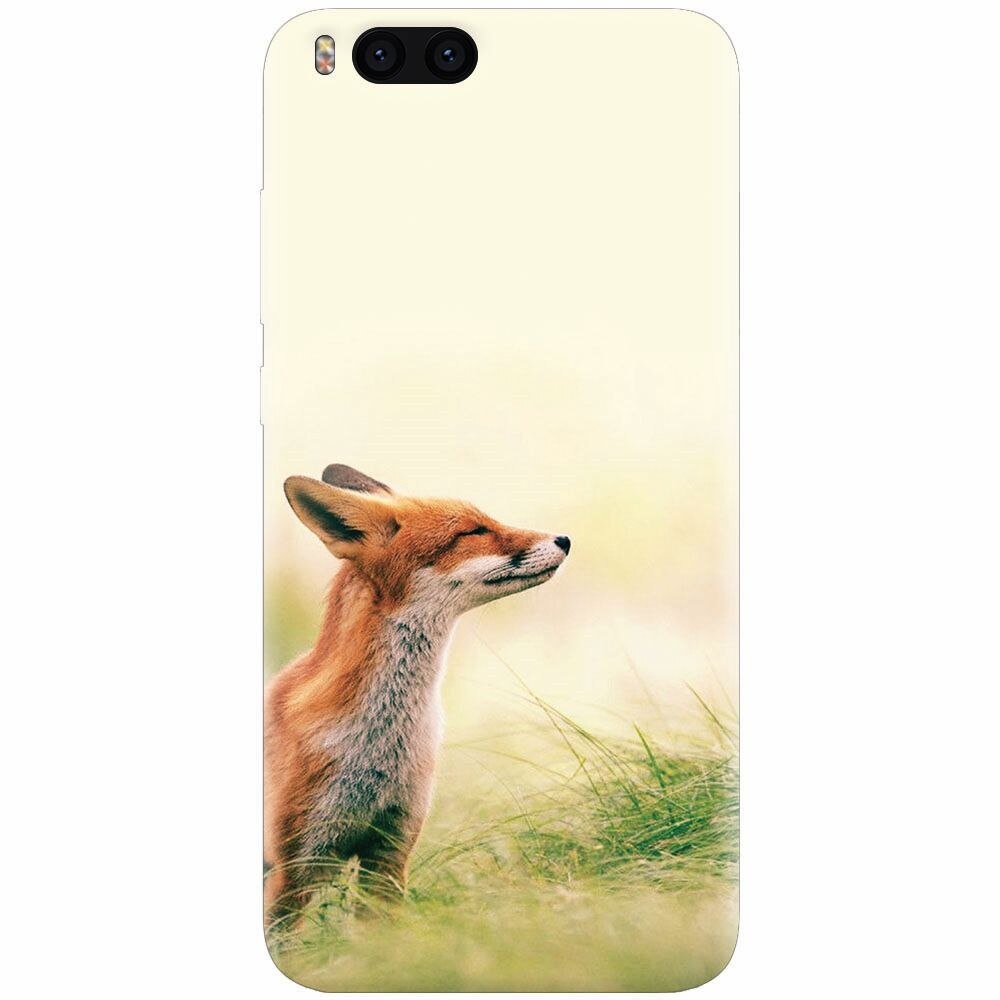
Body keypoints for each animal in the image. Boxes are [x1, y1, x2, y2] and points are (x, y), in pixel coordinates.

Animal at [264, 463, 570, 927]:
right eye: (473, 531)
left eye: (487, 520)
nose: (565, 540)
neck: (379, 746)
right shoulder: (294, 868)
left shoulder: (390, 851)